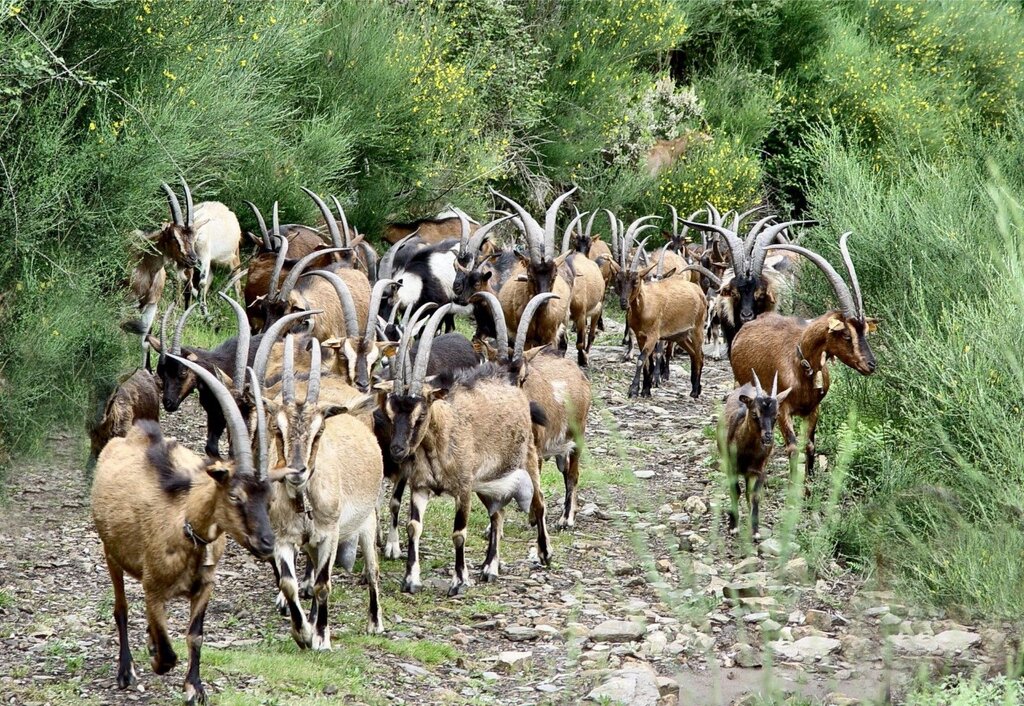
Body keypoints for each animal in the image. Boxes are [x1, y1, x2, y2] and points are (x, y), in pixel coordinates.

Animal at [91, 357, 275, 705]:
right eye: (235, 496)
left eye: (269, 497)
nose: (268, 542)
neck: (185, 524)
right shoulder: (153, 587)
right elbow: (166, 650)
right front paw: (155, 659)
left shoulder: (205, 585)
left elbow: (195, 636)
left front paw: (195, 687)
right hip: (111, 552)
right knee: (121, 609)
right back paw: (126, 671)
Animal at [258, 334, 385, 646]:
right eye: (277, 428)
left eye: (319, 431)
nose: (297, 471)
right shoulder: (284, 538)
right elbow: (289, 584)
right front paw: (303, 632)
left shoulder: (330, 533)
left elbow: (323, 585)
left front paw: (322, 638)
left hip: (366, 523)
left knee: (372, 569)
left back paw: (375, 623)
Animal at [379, 303, 550, 595]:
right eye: (391, 412)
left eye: (420, 414)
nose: (397, 451)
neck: (439, 442)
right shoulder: (420, 487)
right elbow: (413, 527)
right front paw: (411, 579)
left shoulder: (463, 489)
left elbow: (459, 534)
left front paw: (459, 581)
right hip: (489, 481)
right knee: (497, 514)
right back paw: (490, 567)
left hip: (525, 461)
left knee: (537, 502)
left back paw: (544, 553)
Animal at [718, 371, 791, 538]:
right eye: (754, 413)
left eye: (776, 415)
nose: (768, 437)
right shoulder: (731, 467)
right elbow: (735, 491)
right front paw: (733, 526)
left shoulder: (760, 470)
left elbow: (755, 495)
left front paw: (755, 530)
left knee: (748, 492)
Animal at [730, 233, 877, 480]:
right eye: (846, 334)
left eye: (864, 330)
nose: (871, 364)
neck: (800, 362)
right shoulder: (782, 410)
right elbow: (792, 446)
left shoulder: (813, 409)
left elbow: (809, 445)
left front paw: (809, 486)